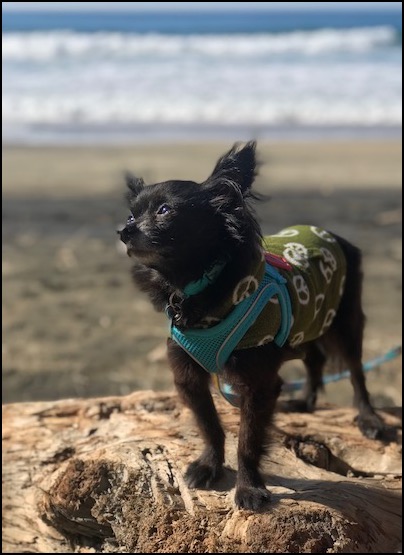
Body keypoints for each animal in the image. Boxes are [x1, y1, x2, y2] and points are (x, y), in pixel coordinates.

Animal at [117, 141, 386, 510]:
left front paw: (248, 488)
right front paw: (209, 466)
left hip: (345, 324)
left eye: (164, 210)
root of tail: (328, 233)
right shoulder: (189, 378)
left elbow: (247, 441)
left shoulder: (258, 385)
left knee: (356, 374)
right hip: (308, 327)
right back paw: (305, 402)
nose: (123, 231)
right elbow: (210, 426)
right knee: (315, 361)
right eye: (131, 215)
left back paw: (369, 419)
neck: (196, 288)